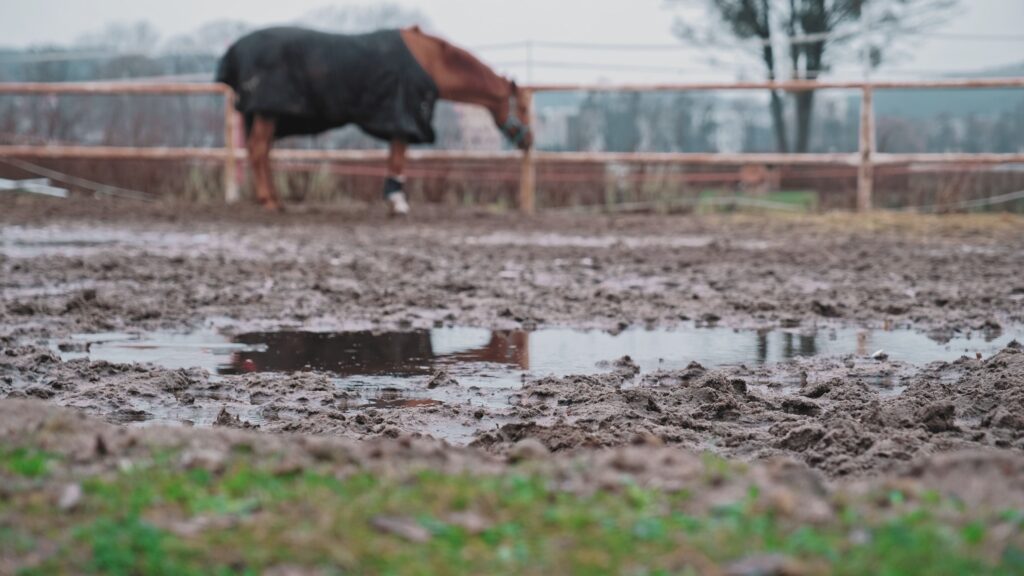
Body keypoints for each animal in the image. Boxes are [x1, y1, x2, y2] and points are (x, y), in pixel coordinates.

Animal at [216, 26, 533, 214]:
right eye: (523, 107)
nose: (530, 140)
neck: (431, 61)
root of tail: (233, 50)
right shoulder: (403, 118)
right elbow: (398, 159)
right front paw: (397, 202)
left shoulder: (398, 121)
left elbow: (394, 158)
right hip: (267, 112)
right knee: (259, 151)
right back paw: (269, 201)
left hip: (266, 114)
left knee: (263, 152)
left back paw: (274, 199)